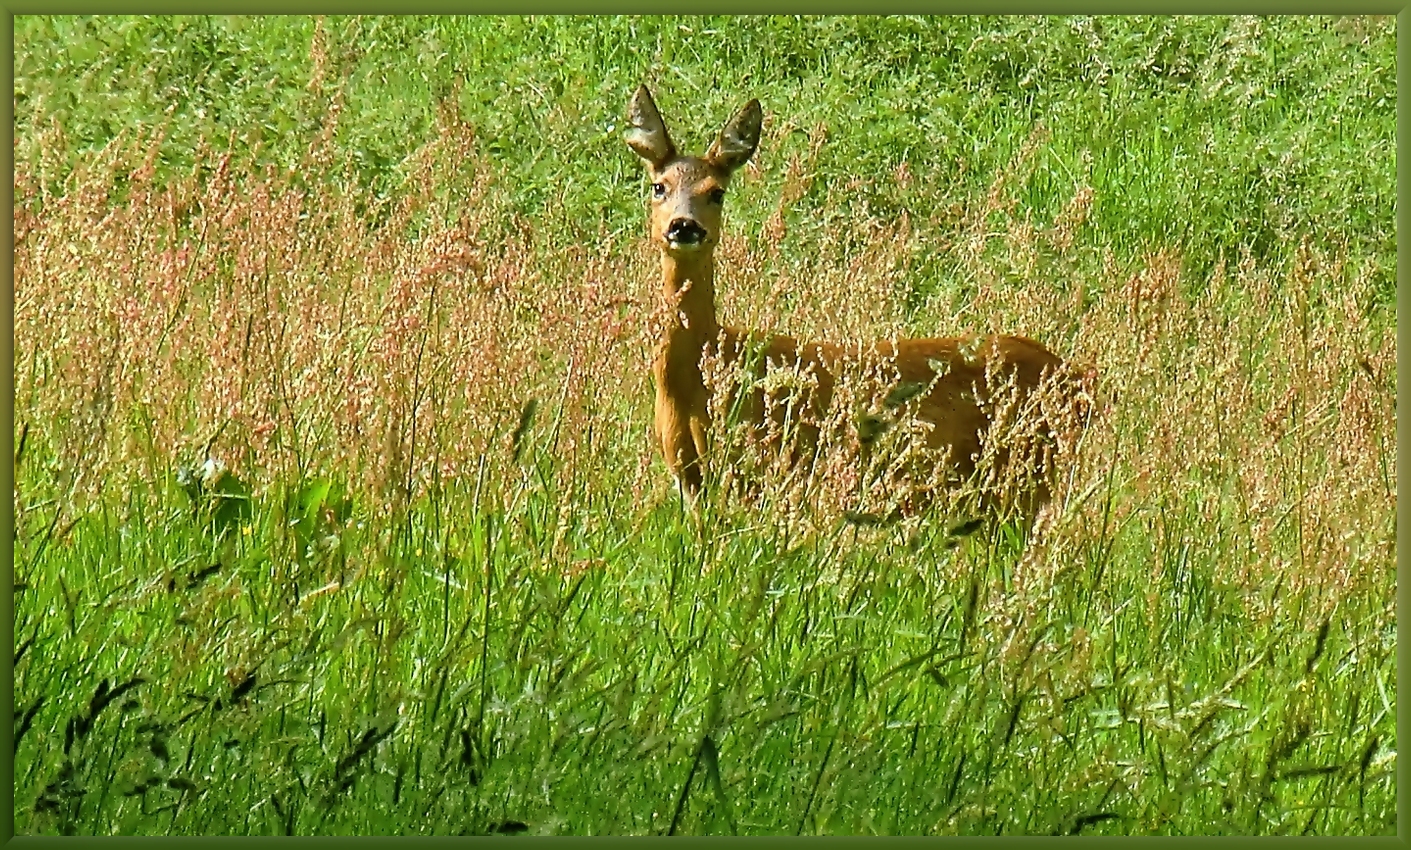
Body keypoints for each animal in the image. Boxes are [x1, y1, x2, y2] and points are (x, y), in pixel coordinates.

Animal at [626, 87, 1078, 522]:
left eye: (716, 192)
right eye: (658, 186)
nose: (683, 226)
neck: (698, 372)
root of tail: (1074, 375)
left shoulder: (759, 463)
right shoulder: (690, 477)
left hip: (1025, 473)